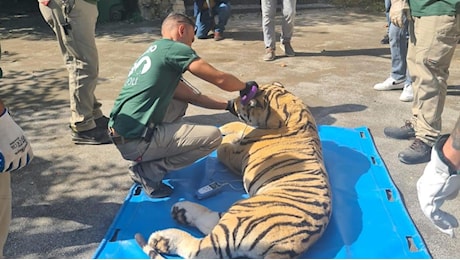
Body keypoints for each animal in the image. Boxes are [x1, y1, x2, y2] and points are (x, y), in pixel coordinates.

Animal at [135, 81, 332, 258]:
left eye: (241, 101)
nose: (230, 102)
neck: (293, 109)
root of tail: (291, 247)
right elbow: (239, 128)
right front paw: (226, 128)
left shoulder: (236, 154)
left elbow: (223, 146)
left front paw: (224, 135)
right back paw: (181, 212)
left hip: (242, 213)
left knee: (201, 249)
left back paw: (164, 238)